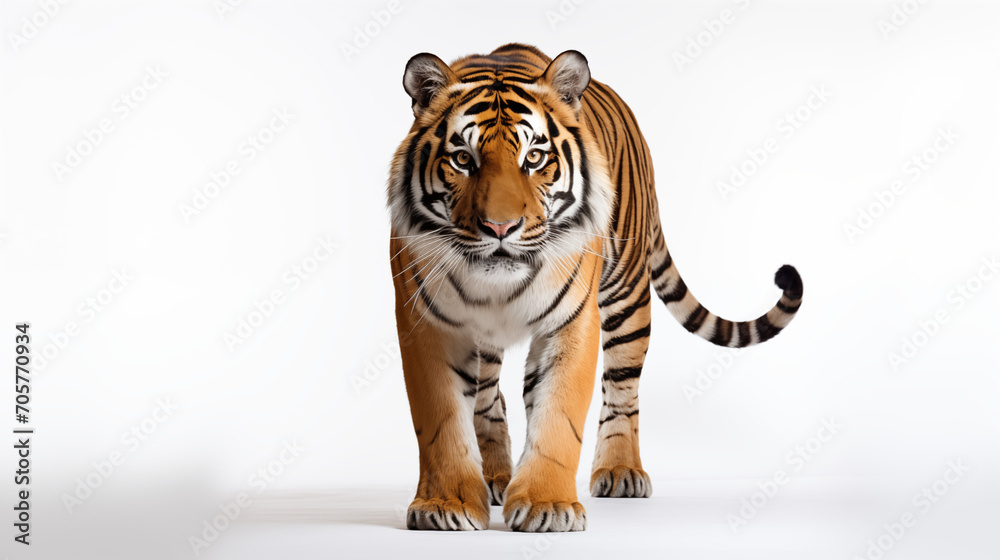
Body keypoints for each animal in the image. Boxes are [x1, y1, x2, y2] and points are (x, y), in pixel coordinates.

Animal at [387, 43, 803, 533]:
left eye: (534, 158)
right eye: (463, 160)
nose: (500, 228)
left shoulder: (571, 321)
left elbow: (559, 413)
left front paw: (547, 505)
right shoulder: (425, 322)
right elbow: (441, 420)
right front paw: (446, 504)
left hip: (627, 296)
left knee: (622, 388)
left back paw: (621, 471)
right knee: (489, 397)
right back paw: (495, 479)